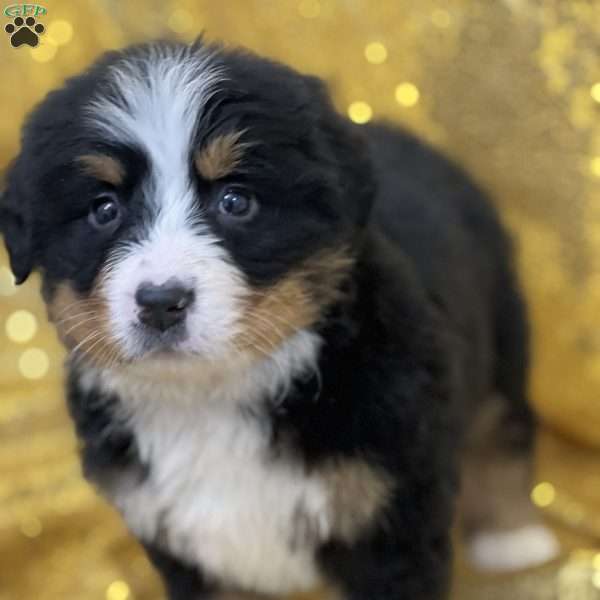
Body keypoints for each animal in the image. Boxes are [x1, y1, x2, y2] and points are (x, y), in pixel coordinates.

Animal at [2, 39, 560, 596]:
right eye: (104, 210)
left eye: (235, 201)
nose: (162, 302)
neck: (211, 396)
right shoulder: (181, 540)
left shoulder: (391, 512)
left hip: (501, 325)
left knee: (505, 422)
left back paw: (513, 538)